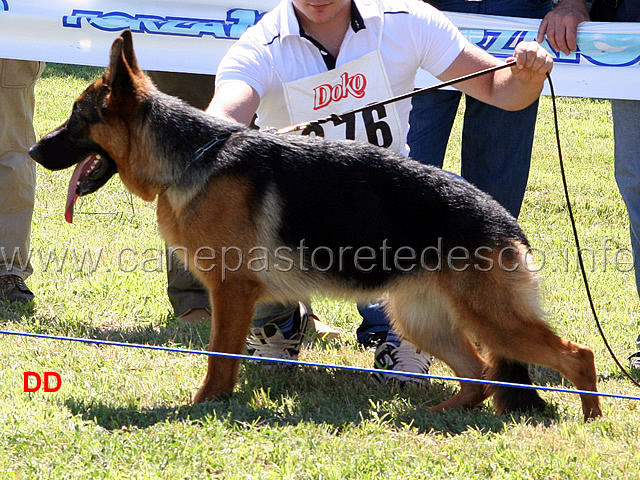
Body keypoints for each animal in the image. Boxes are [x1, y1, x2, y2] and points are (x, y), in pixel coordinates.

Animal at [28, 31, 600, 420]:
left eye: (78, 118)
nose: (34, 150)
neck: (192, 156)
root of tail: (507, 221)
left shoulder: (232, 290)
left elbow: (218, 357)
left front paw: (205, 404)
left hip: (491, 318)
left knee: (577, 354)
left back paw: (590, 419)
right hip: (425, 319)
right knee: (480, 373)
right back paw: (443, 414)